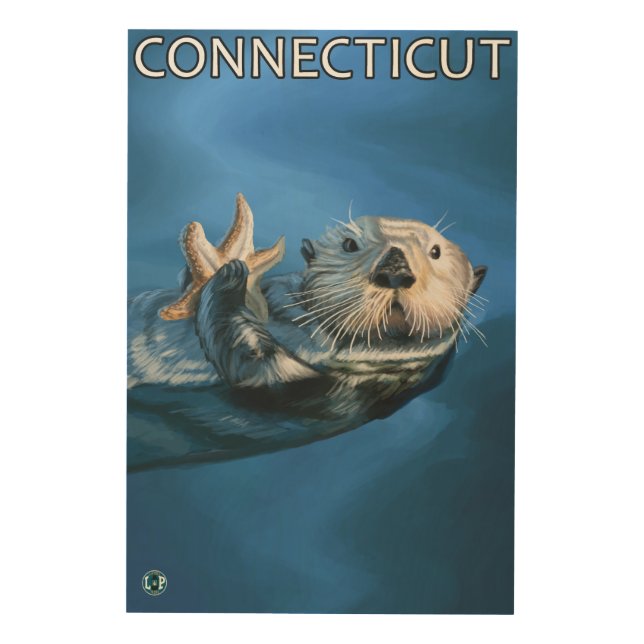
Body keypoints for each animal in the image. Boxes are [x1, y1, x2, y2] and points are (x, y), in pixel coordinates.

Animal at [127, 194, 486, 470]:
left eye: (436, 252)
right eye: (349, 244)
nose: (394, 269)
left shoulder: (323, 393)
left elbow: (256, 365)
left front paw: (230, 273)